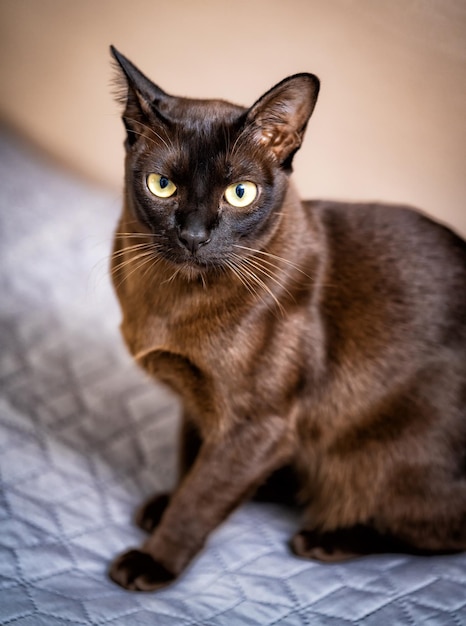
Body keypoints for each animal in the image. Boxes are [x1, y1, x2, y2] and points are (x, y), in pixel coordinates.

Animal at [107, 46, 466, 588]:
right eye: (161, 185)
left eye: (240, 193)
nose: (193, 235)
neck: (171, 302)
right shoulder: (200, 406)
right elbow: (192, 466)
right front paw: (165, 507)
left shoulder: (256, 427)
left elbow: (201, 498)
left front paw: (153, 562)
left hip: (383, 459)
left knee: (435, 530)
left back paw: (322, 539)